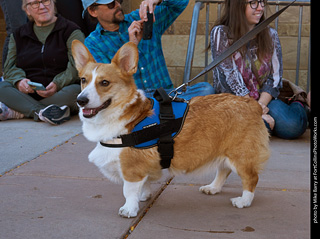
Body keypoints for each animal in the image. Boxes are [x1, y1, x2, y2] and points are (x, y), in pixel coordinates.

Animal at [71, 40, 268, 218]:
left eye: (104, 83)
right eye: (83, 80)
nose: (80, 100)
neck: (128, 116)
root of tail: (253, 104)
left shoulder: (131, 169)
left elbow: (129, 191)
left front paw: (129, 209)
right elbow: (144, 185)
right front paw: (144, 196)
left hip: (240, 155)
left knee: (251, 178)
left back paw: (244, 201)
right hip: (223, 151)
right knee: (223, 170)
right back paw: (213, 188)